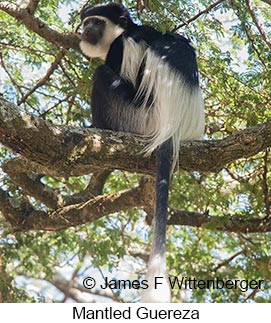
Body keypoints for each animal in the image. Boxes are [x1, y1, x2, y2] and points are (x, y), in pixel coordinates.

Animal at [79, 2, 205, 302]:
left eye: (96, 22)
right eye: (87, 21)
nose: (86, 30)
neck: (123, 31)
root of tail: (172, 128)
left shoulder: (123, 47)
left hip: (136, 118)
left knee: (103, 76)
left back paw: (98, 127)